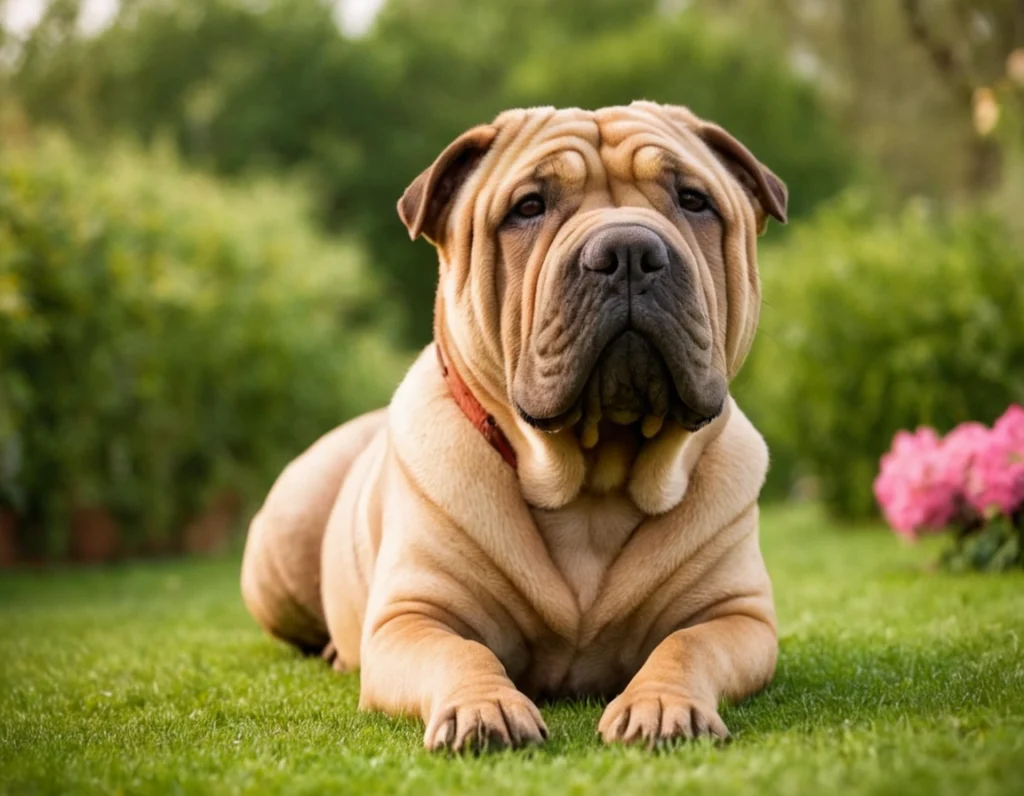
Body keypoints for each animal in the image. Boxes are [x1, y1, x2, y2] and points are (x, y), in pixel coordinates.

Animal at [239, 99, 782, 749]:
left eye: (694, 200)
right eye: (528, 207)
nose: (627, 251)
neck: (592, 484)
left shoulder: (738, 615)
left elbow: (687, 645)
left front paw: (660, 705)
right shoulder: (411, 617)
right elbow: (462, 653)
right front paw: (484, 708)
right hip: (282, 539)